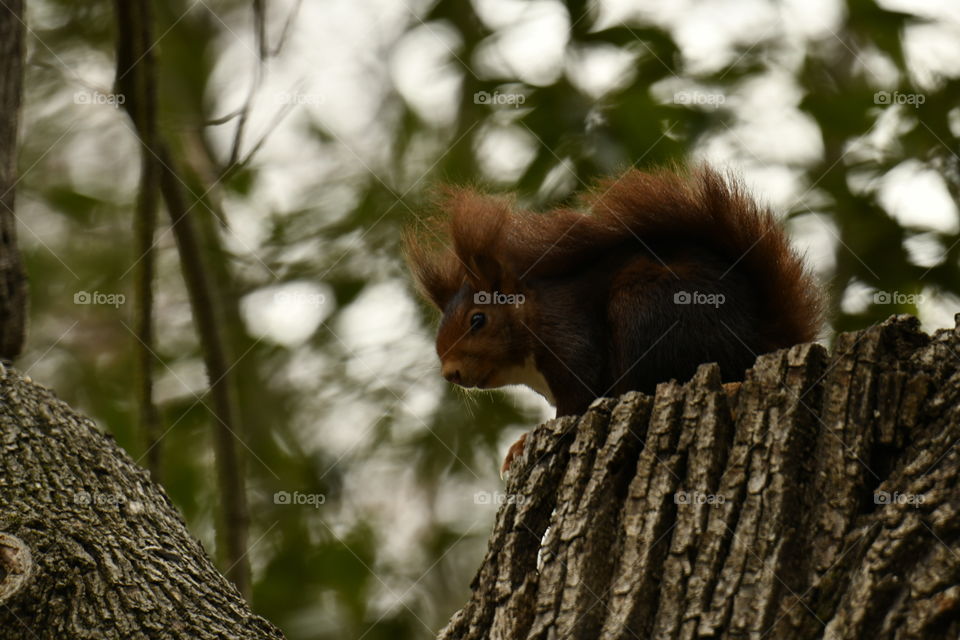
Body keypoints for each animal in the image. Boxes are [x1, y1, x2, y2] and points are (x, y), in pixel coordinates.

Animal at [405, 166, 823, 472]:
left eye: (478, 320)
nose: (450, 373)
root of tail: (761, 339)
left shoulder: (570, 339)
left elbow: (575, 403)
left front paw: (523, 442)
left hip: (647, 310)